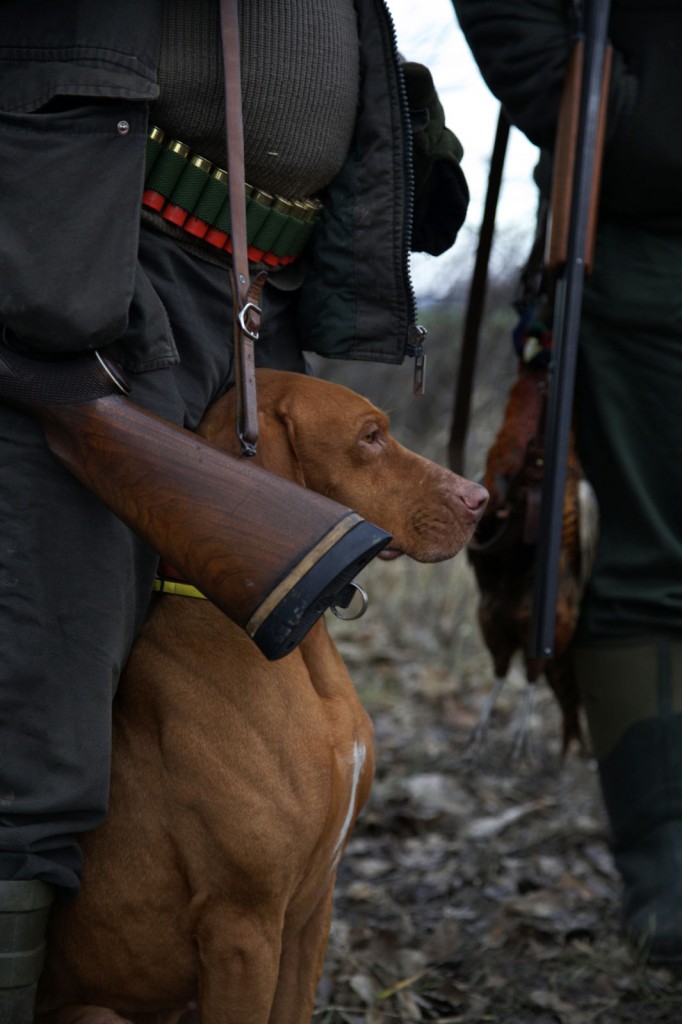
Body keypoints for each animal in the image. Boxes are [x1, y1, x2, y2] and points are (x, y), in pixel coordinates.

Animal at [35, 370, 483, 1024]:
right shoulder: (242, 928)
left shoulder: (314, 907)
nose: (481, 497)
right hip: (99, 1013)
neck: (299, 656)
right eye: (370, 437)